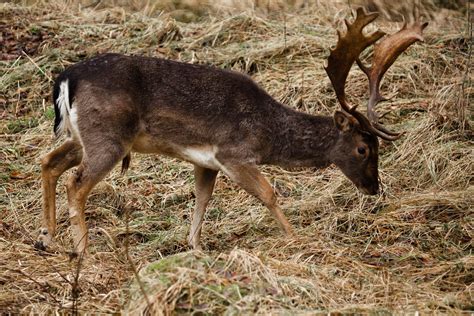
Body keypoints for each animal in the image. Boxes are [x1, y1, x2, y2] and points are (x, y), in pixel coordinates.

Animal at [35, 8, 428, 254]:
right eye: (364, 148)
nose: (374, 187)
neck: (270, 133)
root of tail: (66, 78)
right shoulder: (234, 154)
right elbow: (270, 194)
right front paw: (294, 238)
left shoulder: (206, 161)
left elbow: (202, 199)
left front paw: (194, 247)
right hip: (108, 136)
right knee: (76, 183)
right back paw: (82, 249)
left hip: (81, 135)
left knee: (49, 162)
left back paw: (49, 238)